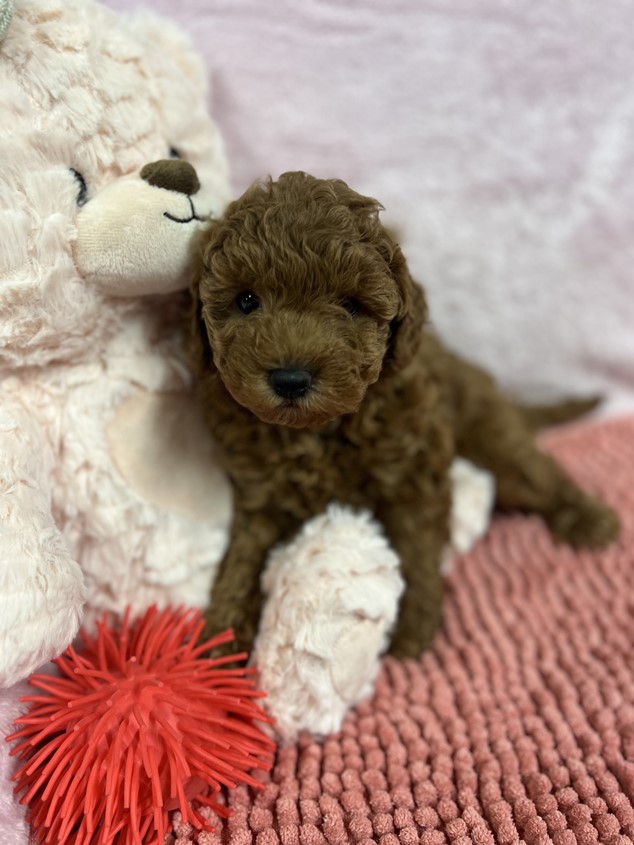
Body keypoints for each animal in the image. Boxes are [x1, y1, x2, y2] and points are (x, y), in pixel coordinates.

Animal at [189, 173, 616, 660]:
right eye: (246, 300)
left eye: (351, 306)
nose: (291, 379)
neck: (319, 433)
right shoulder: (260, 491)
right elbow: (243, 556)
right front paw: (220, 636)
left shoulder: (415, 469)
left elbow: (416, 546)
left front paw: (414, 623)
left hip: (492, 438)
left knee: (536, 472)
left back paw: (590, 518)